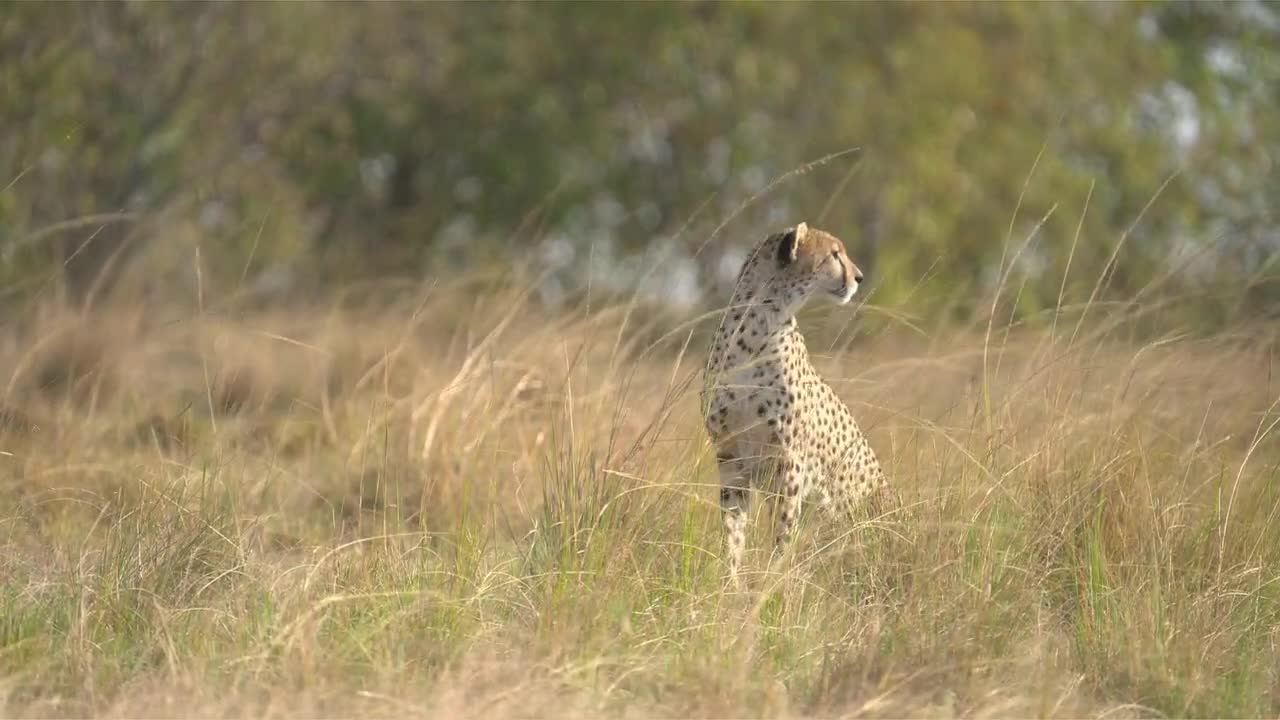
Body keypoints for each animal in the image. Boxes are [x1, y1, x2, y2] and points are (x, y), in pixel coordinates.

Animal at [701, 221, 890, 573]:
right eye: (834, 254)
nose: (859, 277)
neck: (758, 324)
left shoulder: (789, 461)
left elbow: (782, 533)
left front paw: (773, 579)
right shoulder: (729, 455)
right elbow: (733, 531)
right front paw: (729, 580)